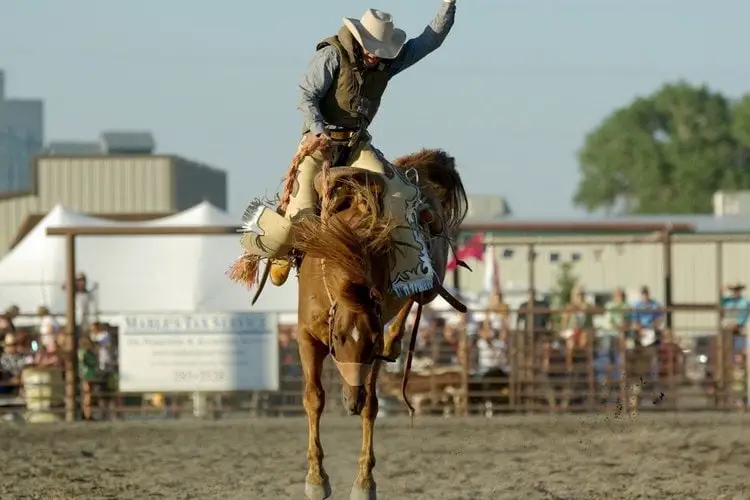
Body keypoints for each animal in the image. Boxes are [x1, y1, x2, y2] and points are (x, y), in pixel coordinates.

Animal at [290, 150, 468, 500]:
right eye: (338, 339)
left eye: (370, 343)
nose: (351, 401)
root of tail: (417, 168)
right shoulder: (306, 336)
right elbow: (314, 398)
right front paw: (316, 479)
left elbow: (372, 407)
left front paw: (364, 482)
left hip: (431, 280)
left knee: (418, 294)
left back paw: (396, 340)